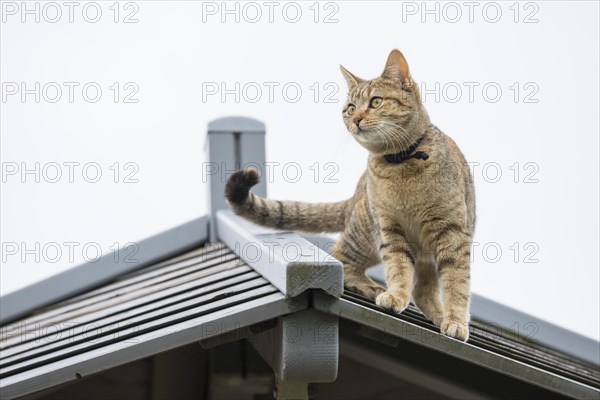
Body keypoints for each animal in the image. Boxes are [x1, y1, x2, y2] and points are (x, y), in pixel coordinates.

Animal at [223, 48, 476, 340]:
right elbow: (398, 268)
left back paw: (437, 314)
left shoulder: (452, 232)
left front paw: (455, 320)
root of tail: (357, 191)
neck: (401, 163)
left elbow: (456, 282)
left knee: (423, 290)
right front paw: (395, 295)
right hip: (365, 234)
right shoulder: (390, 230)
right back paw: (374, 287)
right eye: (351, 108)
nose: (355, 119)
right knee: (343, 259)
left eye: (376, 101)